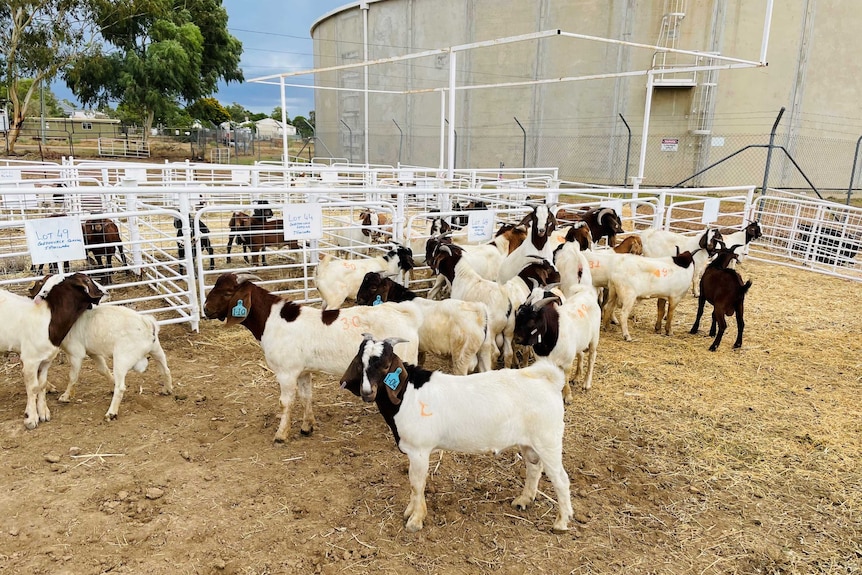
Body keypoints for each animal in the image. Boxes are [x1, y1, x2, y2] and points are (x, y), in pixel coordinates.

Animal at [27, 276, 172, 420]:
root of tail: (147, 324)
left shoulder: (76, 354)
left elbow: (73, 377)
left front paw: (65, 396)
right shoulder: (93, 352)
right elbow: (103, 370)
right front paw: (111, 383)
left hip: (122, 359)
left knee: (121, 387)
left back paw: (111, 413)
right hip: (157, 350)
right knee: (165, 370)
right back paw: (167, 389)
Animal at [202, 272, 418, 444]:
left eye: (227, 292)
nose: (205, 309)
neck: (273, 320)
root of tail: (405, 315)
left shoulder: (286, 373)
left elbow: (285, 402)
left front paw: (281, 435)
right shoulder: (302, 371)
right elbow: (306, 396)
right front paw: (307, 427)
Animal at [340, 336, 576, 532]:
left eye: (386, 365)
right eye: (361, 363)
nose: (367, 392)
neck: (407, 392)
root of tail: (548, 381)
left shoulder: (419, 450)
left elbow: (417, 484)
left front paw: (415, 520)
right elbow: (414, 484)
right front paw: (410, 511)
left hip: (548, 439)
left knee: (560, 479)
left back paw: (561, 522)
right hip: (530, 442)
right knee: (534, 467)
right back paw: (524, 500)